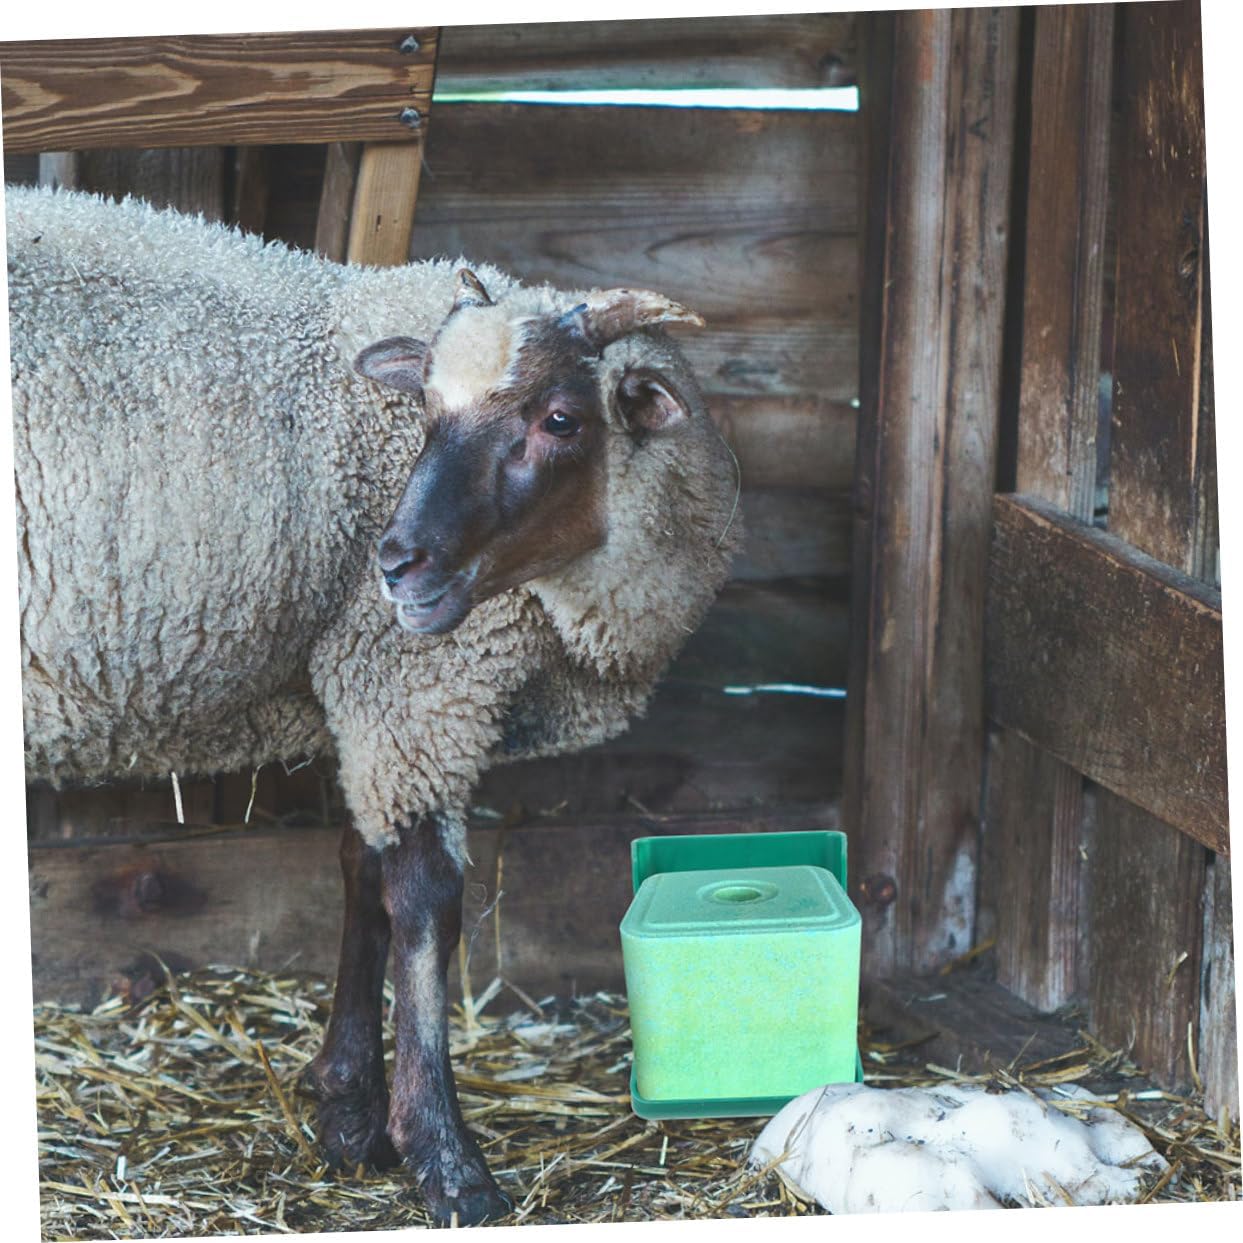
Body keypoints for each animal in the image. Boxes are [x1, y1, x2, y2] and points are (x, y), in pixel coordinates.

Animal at [7, 183, 742, 1225]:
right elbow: (425, 896)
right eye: (425, 409)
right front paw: (444, 1157)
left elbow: (360, 866)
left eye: (561, 417)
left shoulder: (369, 690)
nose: (398, 563)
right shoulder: (411, 679)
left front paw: (351, 1111)